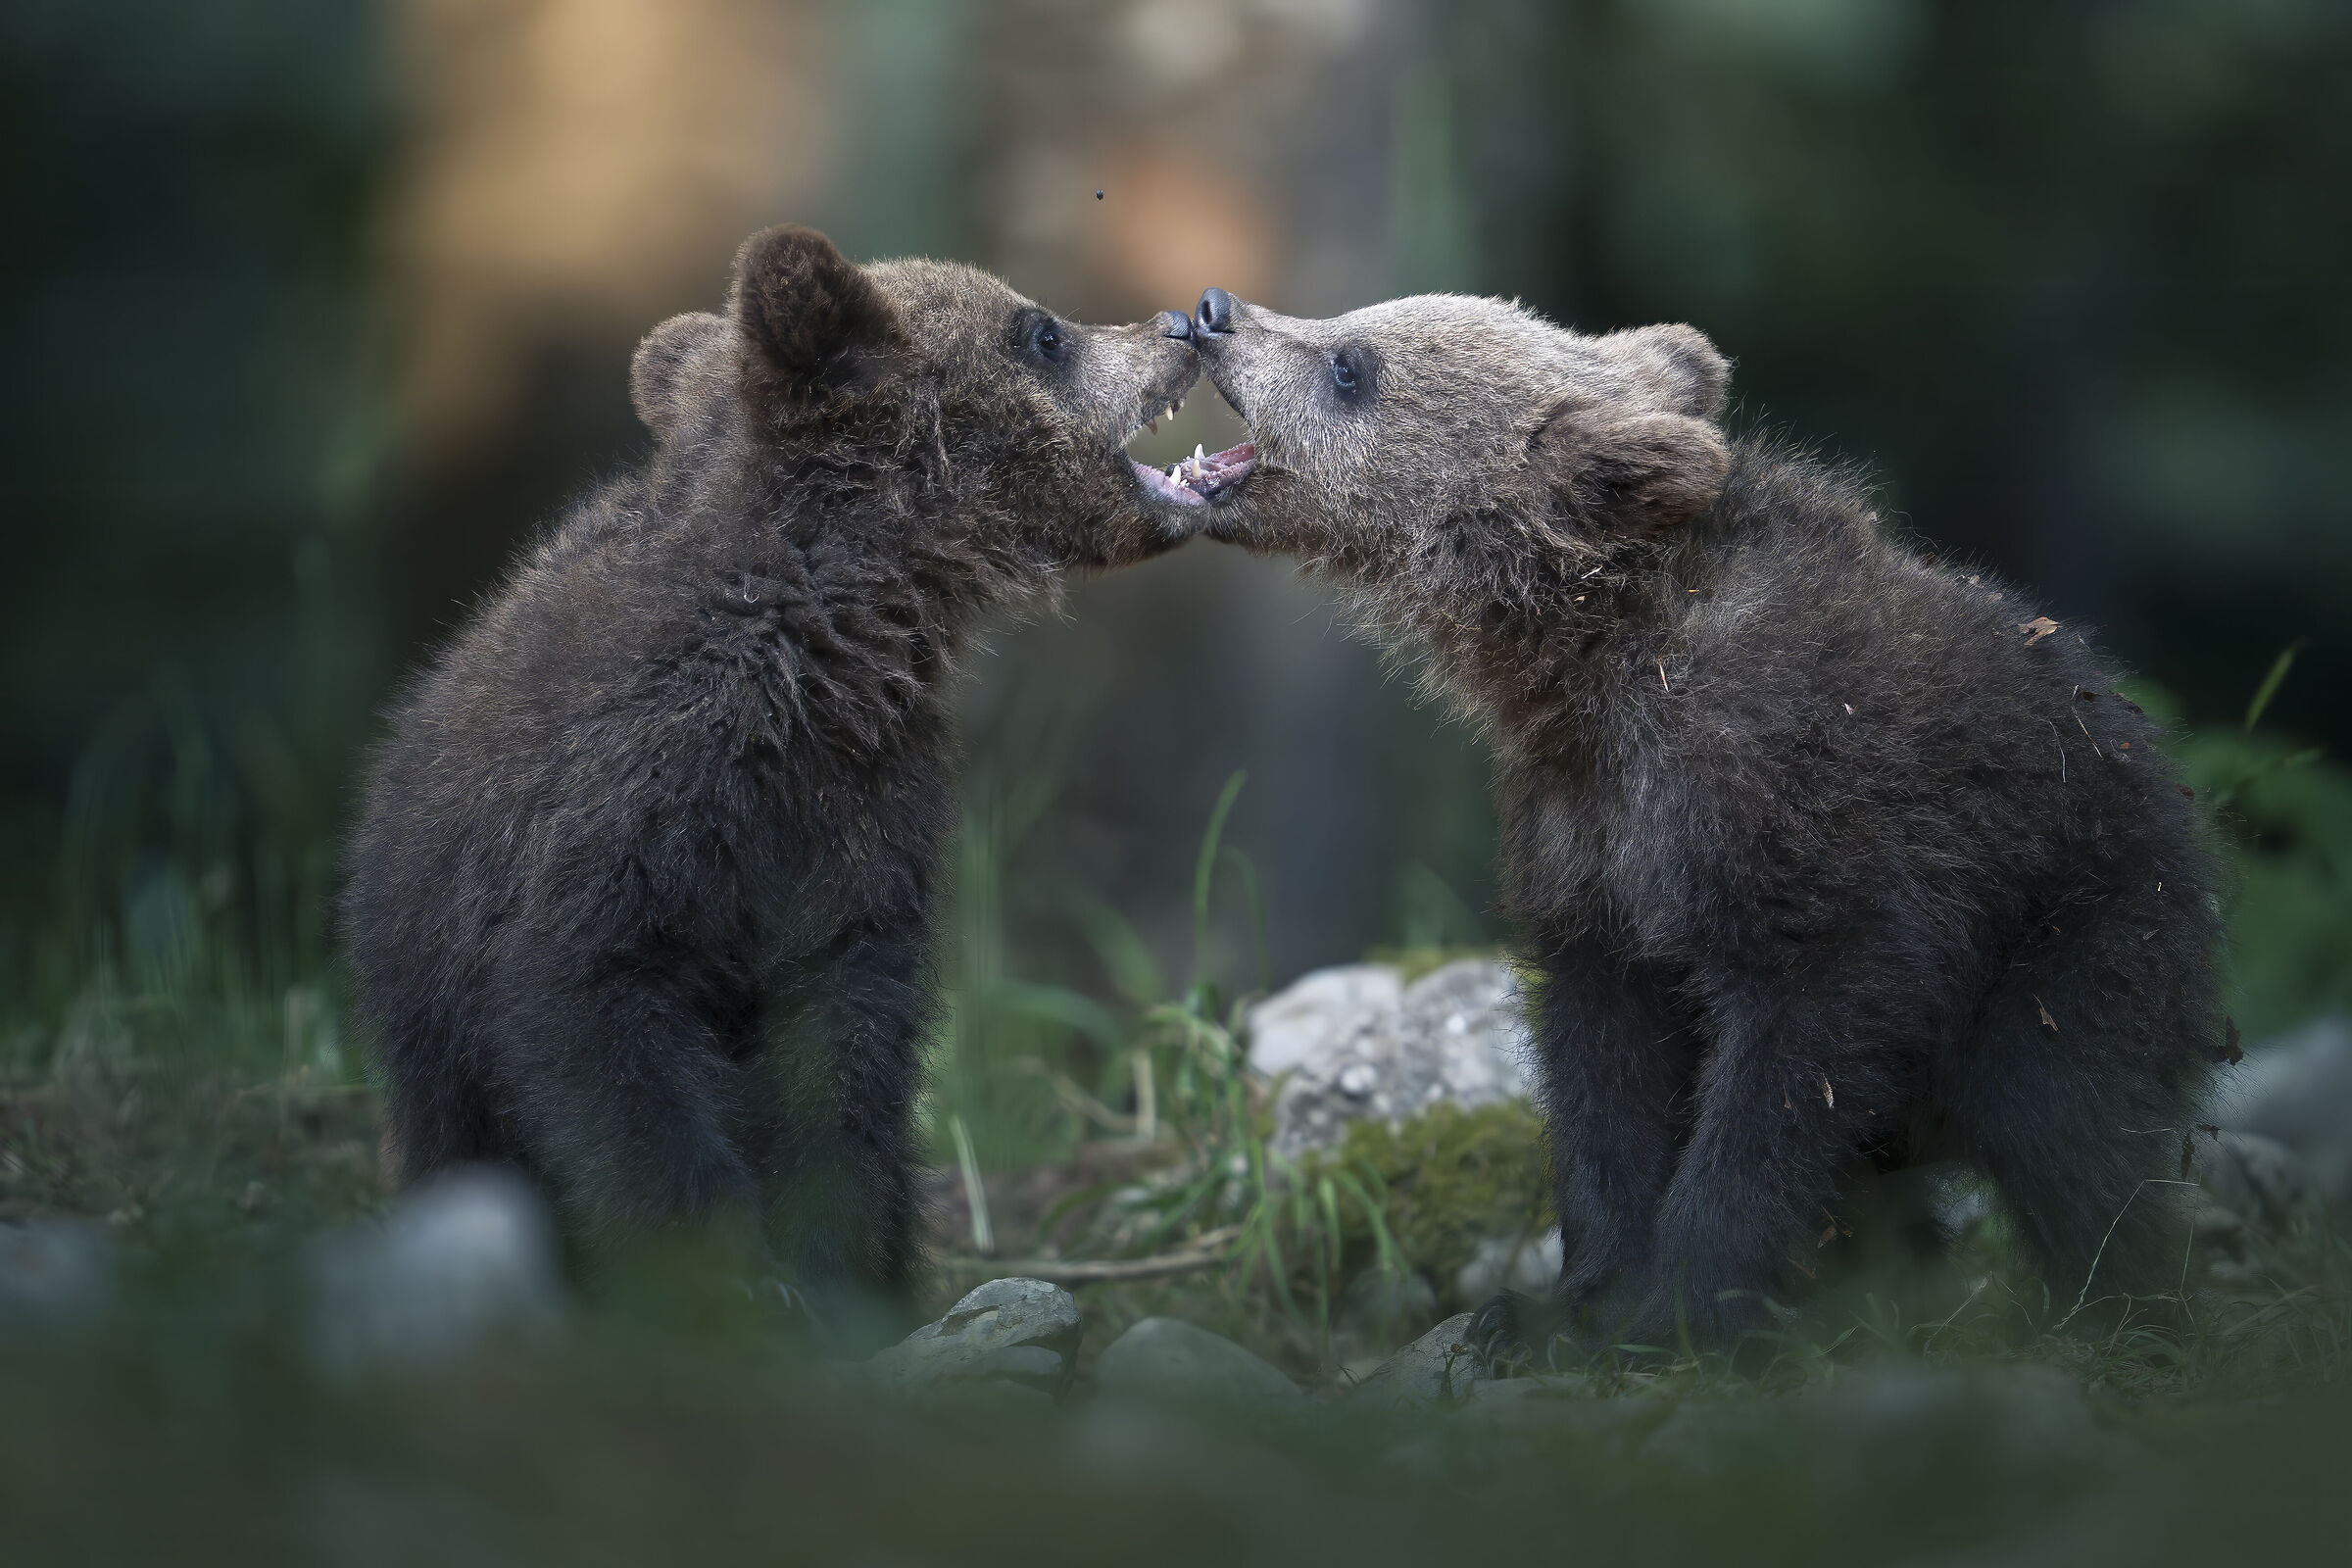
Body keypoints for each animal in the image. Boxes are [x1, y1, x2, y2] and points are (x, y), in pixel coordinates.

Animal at [341, 226, 1205, 1317]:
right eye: (1041, 331)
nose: (1176, 325)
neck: (821, 646)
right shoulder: (633, 806)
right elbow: (594, 1015)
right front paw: (723, 1270)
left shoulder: (862, 814)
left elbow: (841, 1054)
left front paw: (835, 1268)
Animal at [1174, 284, 2223, 1347]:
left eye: (1353, 365)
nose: (1214, 311)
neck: (1594, 661)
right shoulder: (1588, 843)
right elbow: (1603, 1071)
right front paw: (1579, 1296)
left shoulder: (1803, 818)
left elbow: (1795, 1059)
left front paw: (1684, 1301)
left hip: (2079, 927)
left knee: (2064, 1124)